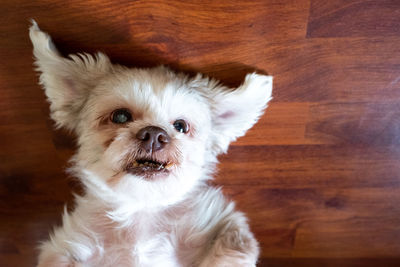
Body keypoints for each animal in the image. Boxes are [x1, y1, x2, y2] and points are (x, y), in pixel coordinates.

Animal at [28, 21, 272, 267]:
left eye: (181, 126)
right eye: (120, 116)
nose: (154, 134)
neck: (142, 212)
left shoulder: (223, 225)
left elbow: (235, 244)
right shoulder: (66, 247)